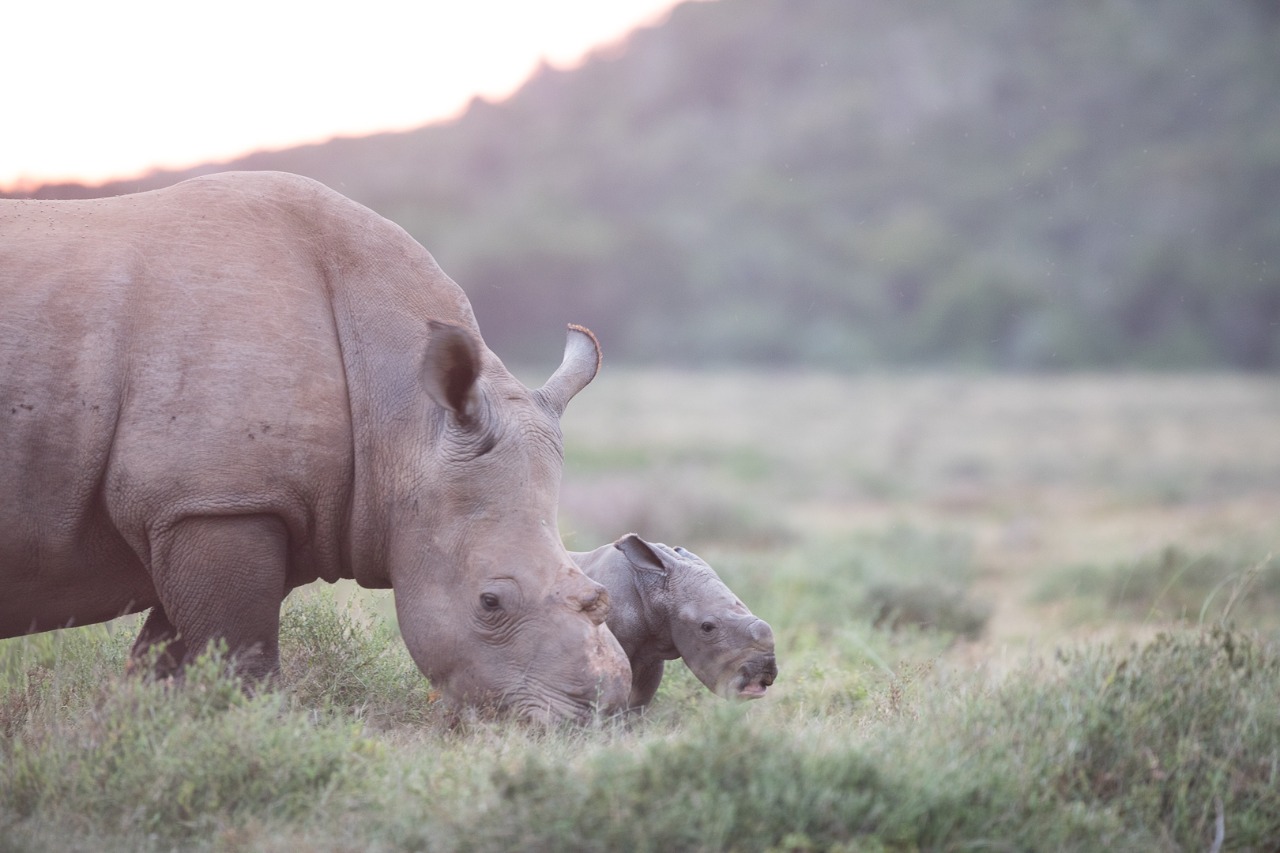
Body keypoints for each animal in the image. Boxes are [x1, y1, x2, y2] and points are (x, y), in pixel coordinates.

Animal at [0, 169, 629, 722]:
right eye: (490, 602)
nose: (602, 713)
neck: (404, 417)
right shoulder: (210, 505)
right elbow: (243, 660)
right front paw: (255, 733)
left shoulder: (225, 507)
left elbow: (169, 656)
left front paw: (141, 727)